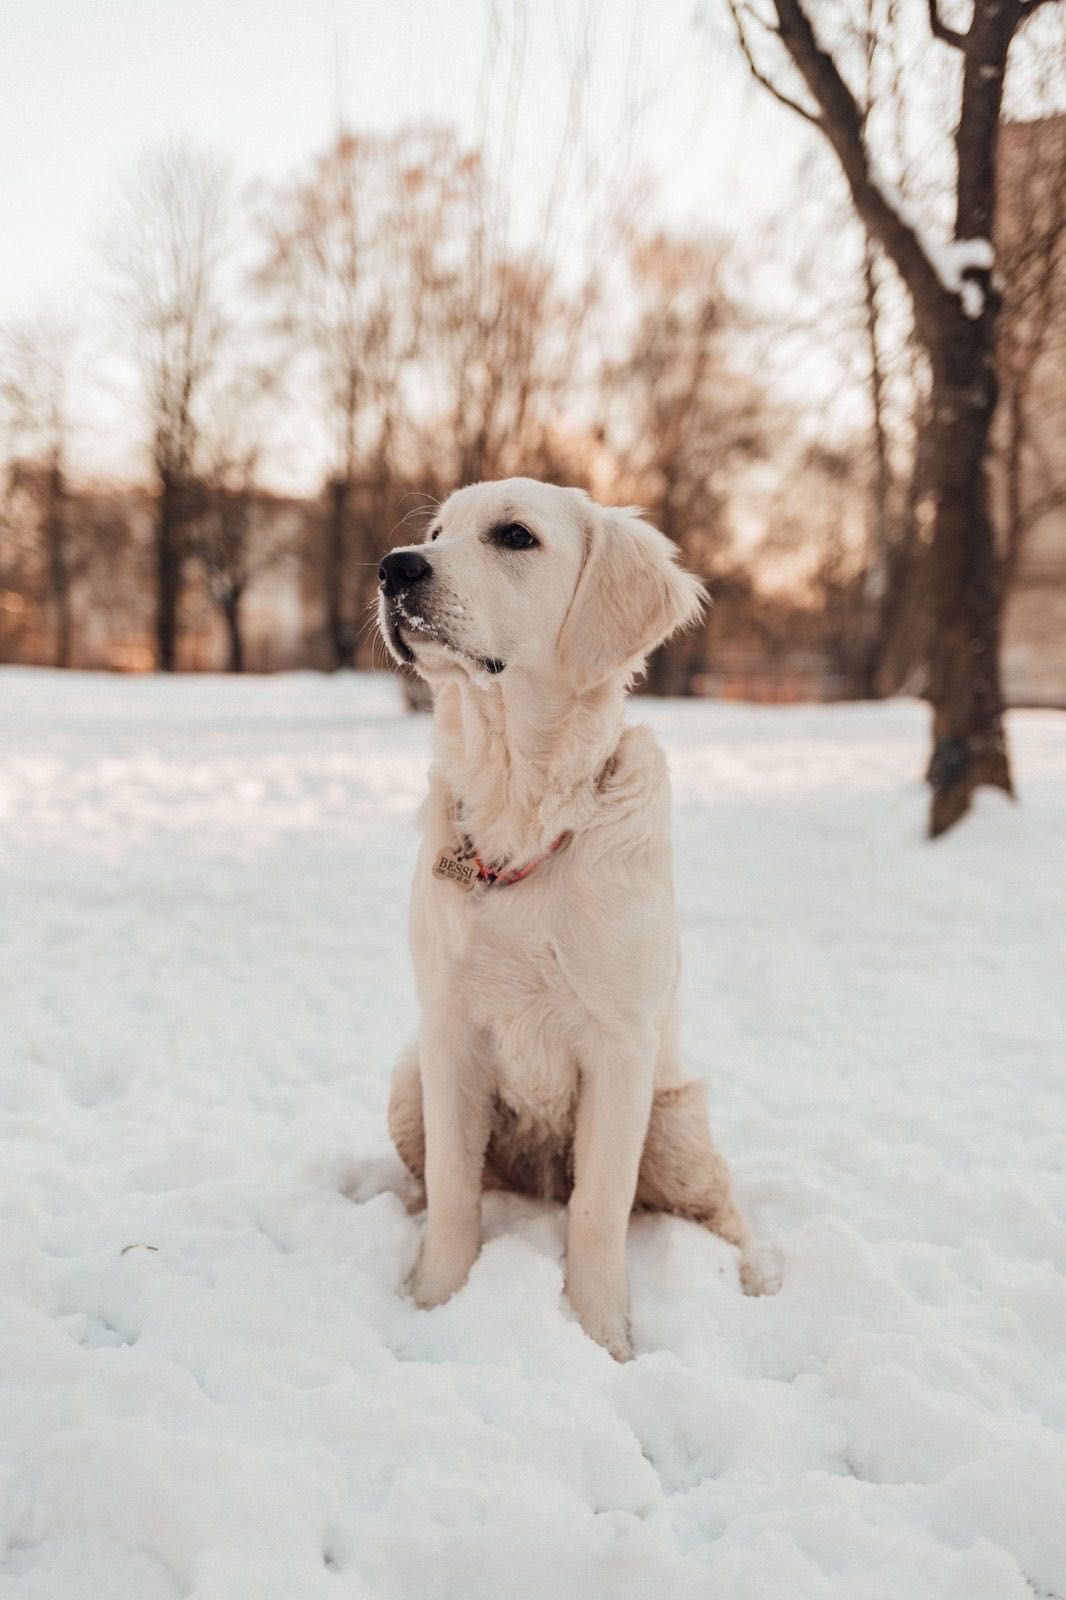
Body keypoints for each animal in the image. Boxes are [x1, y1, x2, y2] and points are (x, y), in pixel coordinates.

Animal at [377, 476, 752, 1363]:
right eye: (435, 534)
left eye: (515, 536)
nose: (393, 569)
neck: (521, 803)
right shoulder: (448, 1030)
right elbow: (453, 1190)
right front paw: (433, 1304)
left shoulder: (619, 1049)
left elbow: (597, 1210)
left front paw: (604, 1339)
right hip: (406, 1082)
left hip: (674, 1124)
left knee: (724, 1211)